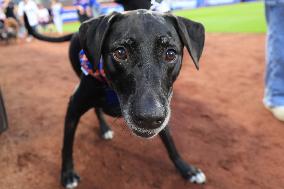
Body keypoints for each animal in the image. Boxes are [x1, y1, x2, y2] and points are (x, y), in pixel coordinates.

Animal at [23, 9, 204, 188]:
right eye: (120, 52)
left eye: (170, 54)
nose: (149, 119)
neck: (113, 91)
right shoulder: (73, 107)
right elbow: (67, 145)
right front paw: (67, 174)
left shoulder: (163, 107)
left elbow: (170, 143)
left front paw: (187, 169)